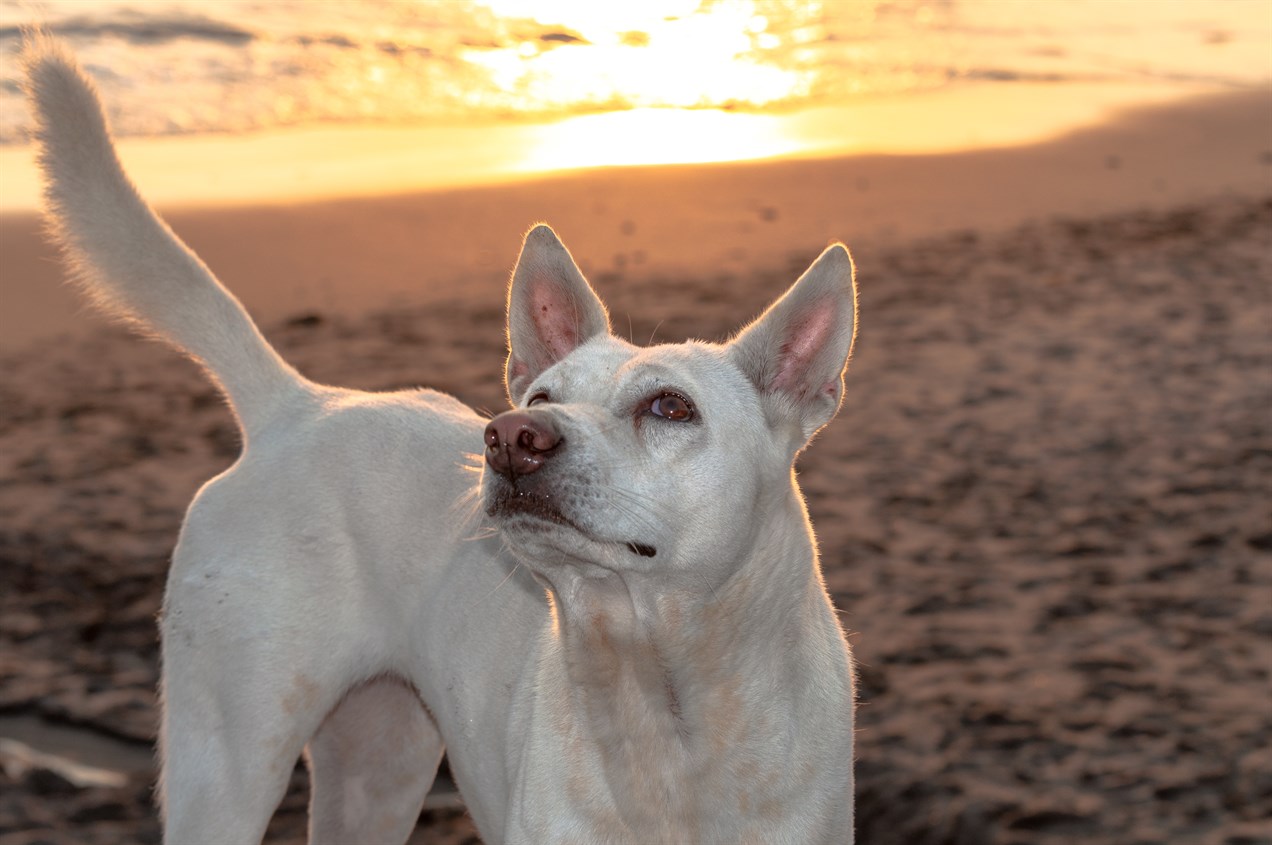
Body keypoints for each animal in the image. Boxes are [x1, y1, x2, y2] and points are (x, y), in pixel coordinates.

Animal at [22, 34, 854, 845]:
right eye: (540, 398)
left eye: (671, 406)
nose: (511, 437)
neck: (660, 699)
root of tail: (298, 404)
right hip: (230, 762)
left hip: (378, 759)